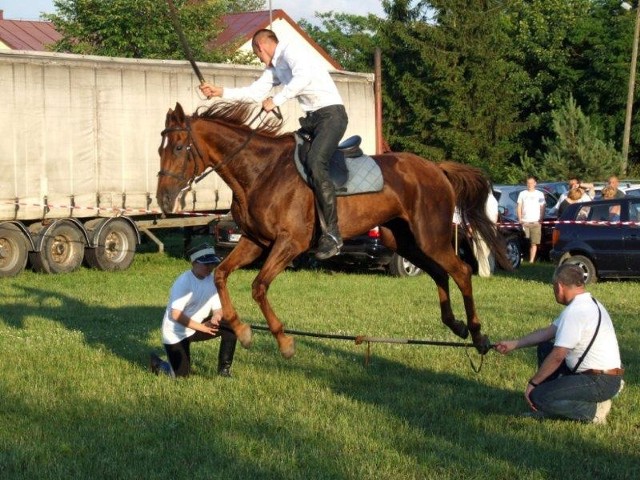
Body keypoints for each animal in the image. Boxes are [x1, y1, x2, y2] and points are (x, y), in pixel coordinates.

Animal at [156, 102, 510, 356]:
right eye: (161, 149)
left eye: (178, 148)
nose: (163, 198)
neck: (260, 172)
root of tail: (436, 167)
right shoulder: (255, 241)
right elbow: (220, 275)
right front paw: (241, 330)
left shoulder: (290, 243)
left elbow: (258, 286)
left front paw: (283, 341)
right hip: (405, 241)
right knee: (438, 272)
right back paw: (456, 325)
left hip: (430, 236)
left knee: (461, 270)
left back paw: (477, 335)